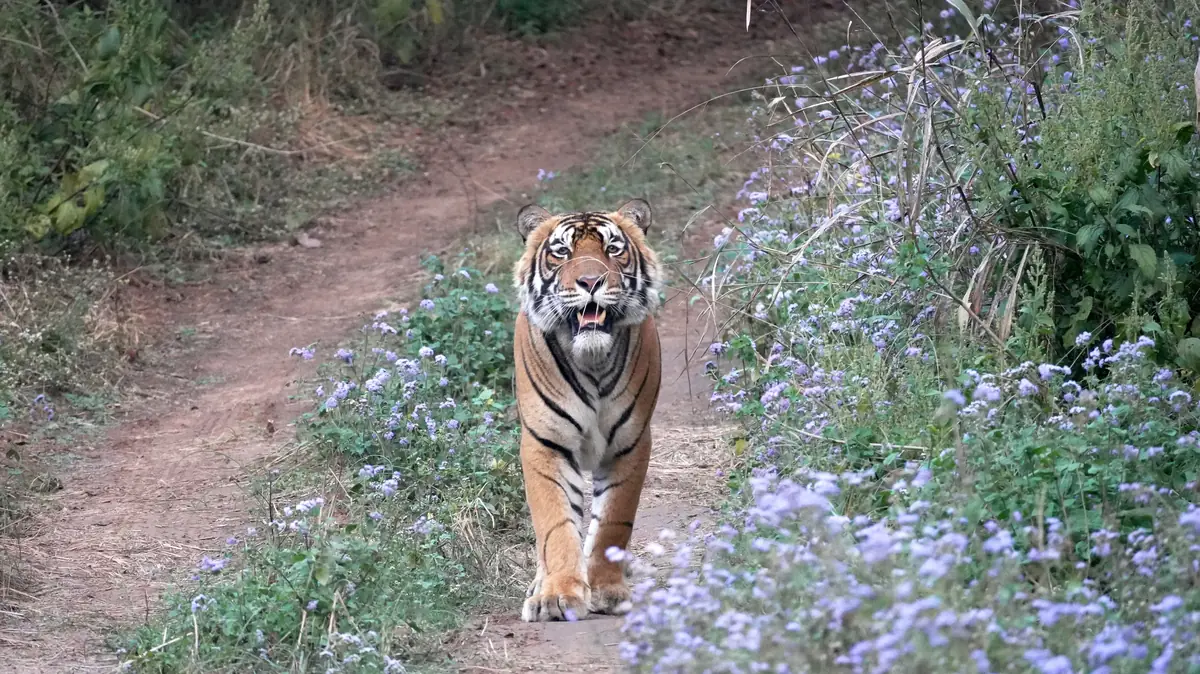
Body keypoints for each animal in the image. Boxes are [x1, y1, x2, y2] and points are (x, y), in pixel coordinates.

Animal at [511, 198, 663, 622]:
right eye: (562, 252)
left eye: (613, 249)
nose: (591, 282)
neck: (592, 360)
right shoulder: (545, 445)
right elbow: (555, 525)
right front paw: (557, 596)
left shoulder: (631, 444)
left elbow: (613, 521)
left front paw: (608, 591)